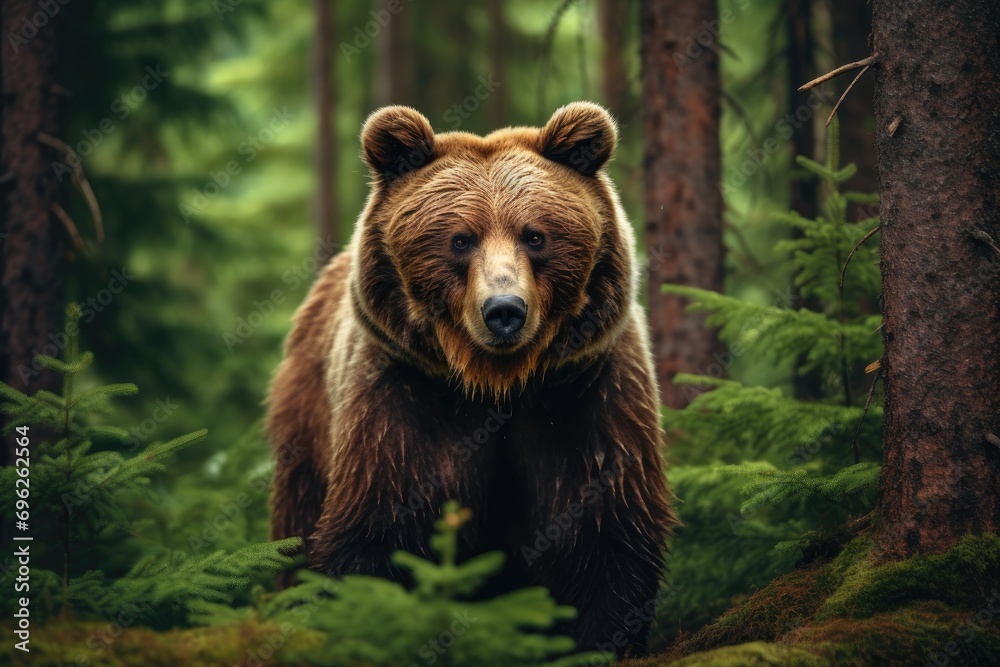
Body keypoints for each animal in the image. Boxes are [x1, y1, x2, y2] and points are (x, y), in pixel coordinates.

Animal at [266, 102, 676, 656]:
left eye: (534, 235)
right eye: (460, 239)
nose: (504, 310)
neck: (497, 384)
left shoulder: (585, 393)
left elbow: (604, 528)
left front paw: (598, 641)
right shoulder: (403, 401)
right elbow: (378, 529)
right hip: (309, 418)